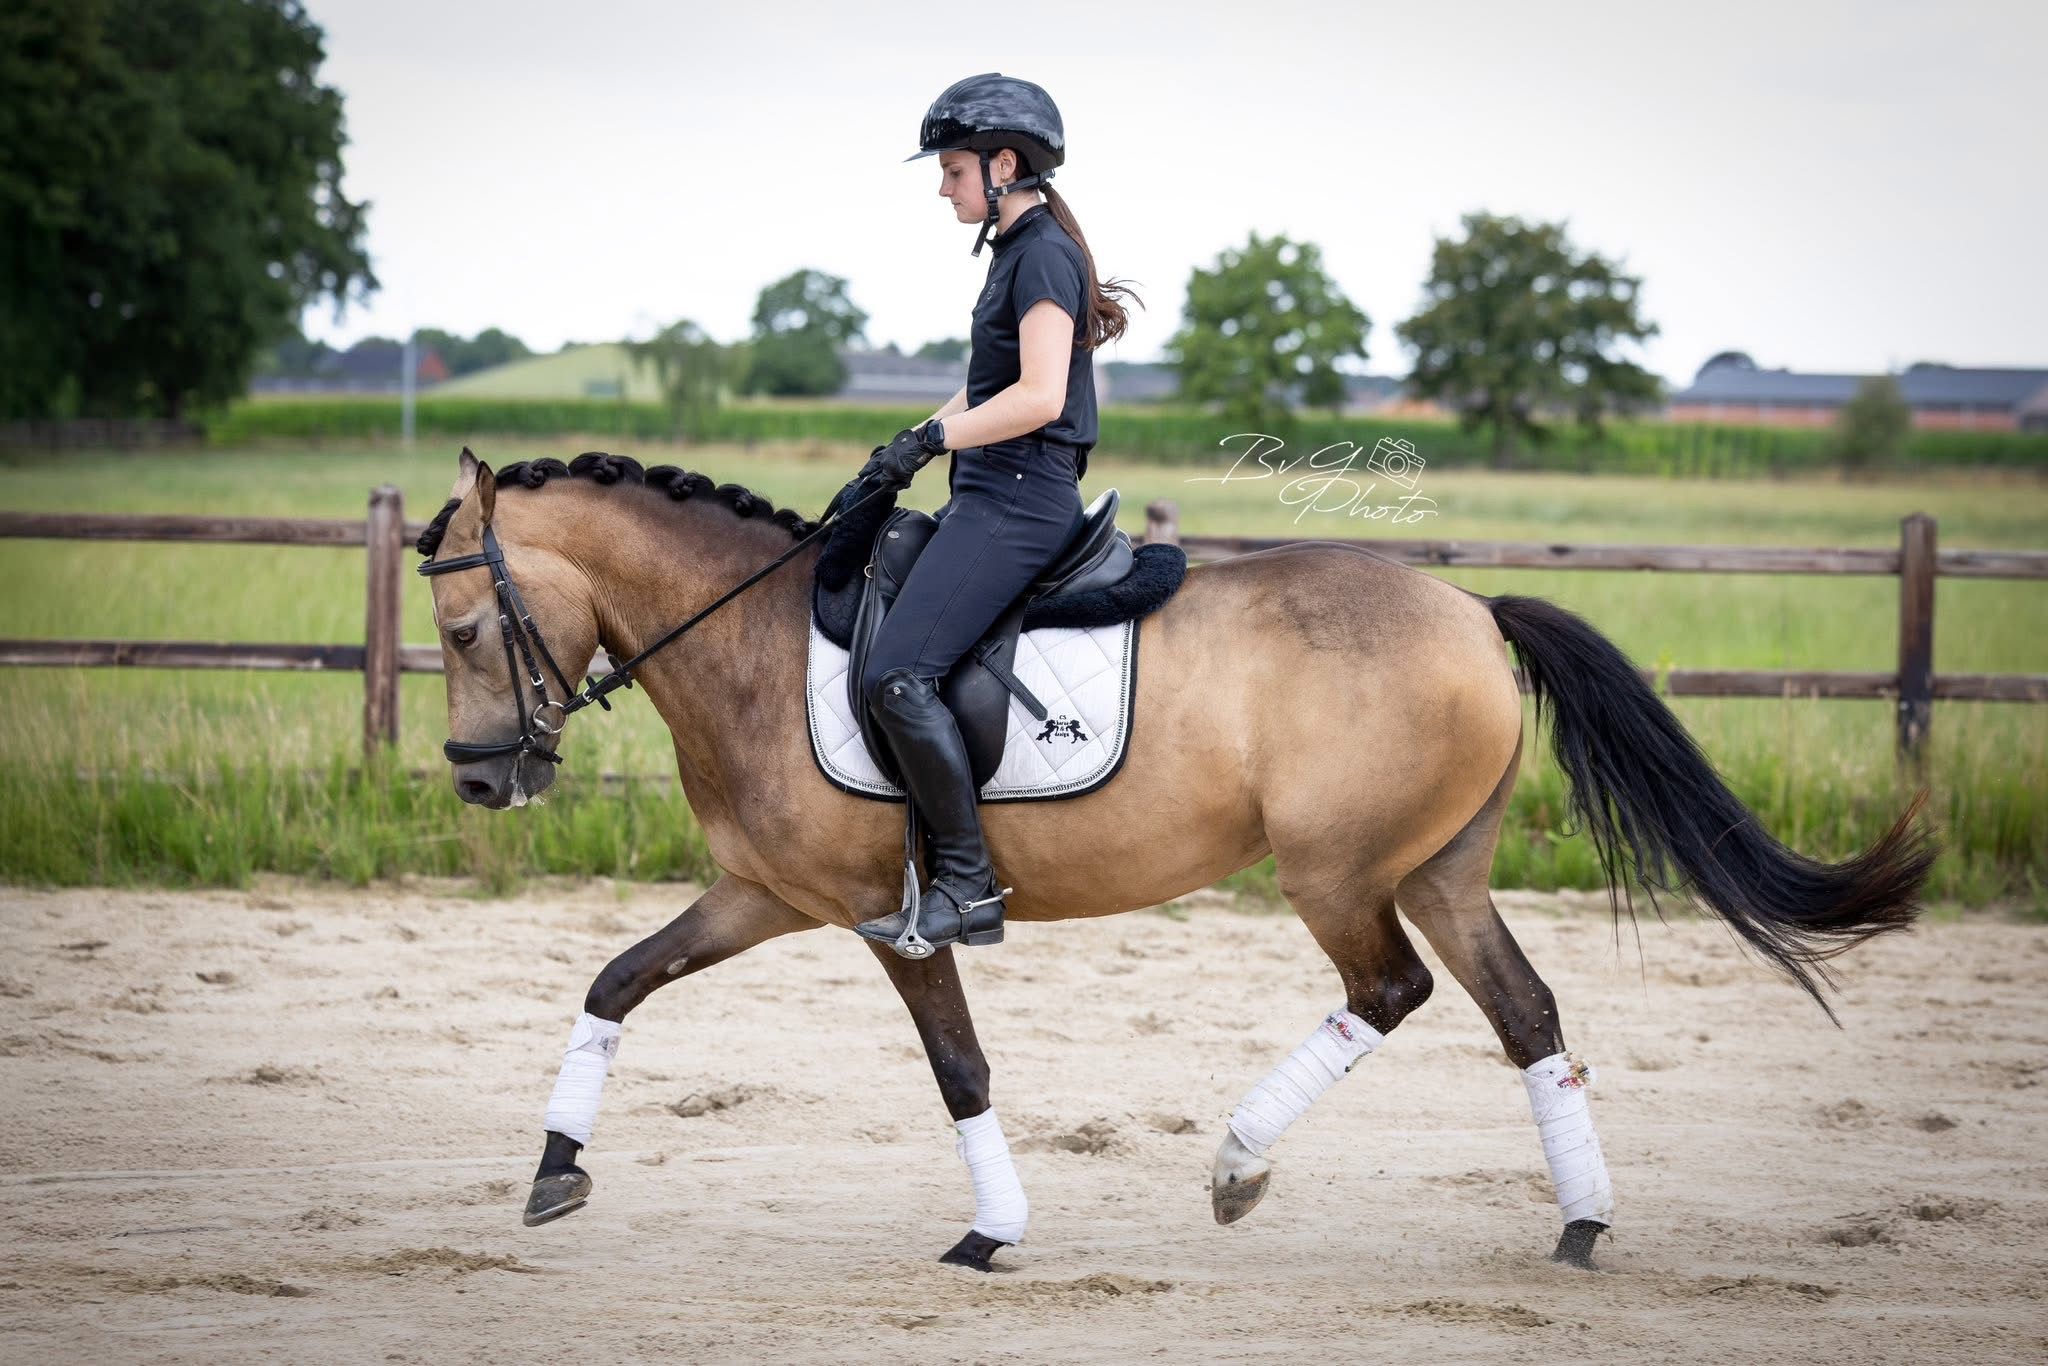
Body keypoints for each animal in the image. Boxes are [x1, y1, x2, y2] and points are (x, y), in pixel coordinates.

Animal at [415, 447, 1938, 1273]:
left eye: (465, 632)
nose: (485, 775)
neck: (750, 638)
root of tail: (1465, 604)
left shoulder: (889, 918)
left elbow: (959, 1066)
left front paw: (993, 1230)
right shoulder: (765, 896)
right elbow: (616, 981)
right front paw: (554, 1169)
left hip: (1340, 873)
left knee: (1392, 994)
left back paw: (1238, 1162)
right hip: (1440, 868)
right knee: (1526, 1014)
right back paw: (1579, 1223)